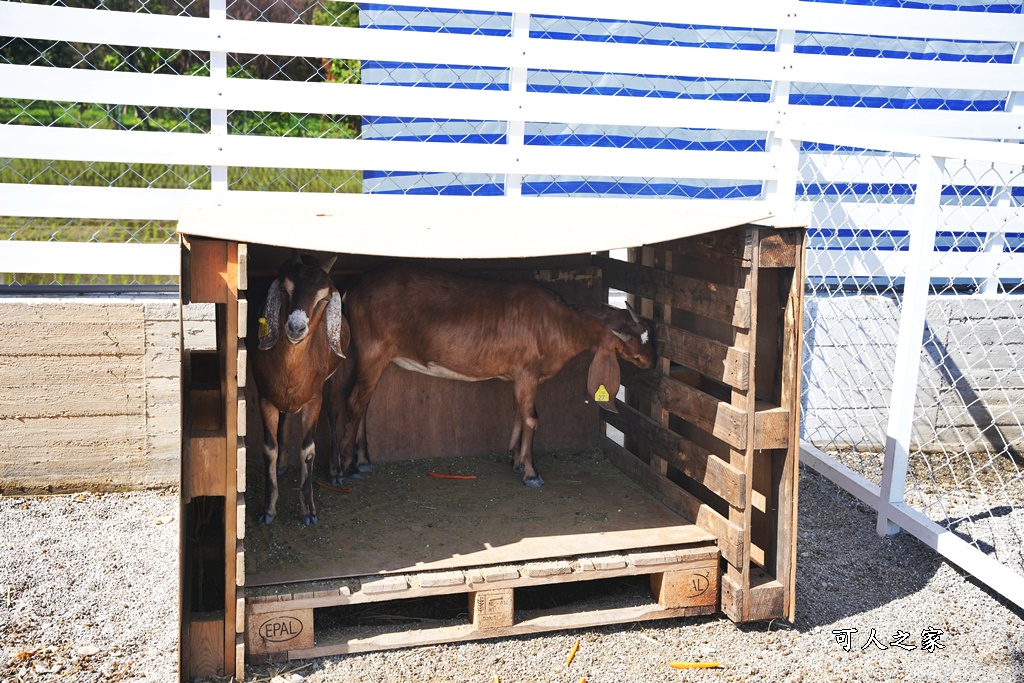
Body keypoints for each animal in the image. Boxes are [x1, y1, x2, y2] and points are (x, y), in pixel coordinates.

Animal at [251, 253, 352, 528]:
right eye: (285, 289)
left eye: (324, 298)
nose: (296, 328)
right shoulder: (264, 397)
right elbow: (269, 449)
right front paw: (267, 509)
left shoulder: (313, 400)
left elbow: (308, 451)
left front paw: (308, 511)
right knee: (286, 416)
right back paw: (283, 463)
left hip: (336, 375)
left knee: (333, 413)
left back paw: (336, 470)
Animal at [327, 264, 655, 489]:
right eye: (631, 342)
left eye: (648, 336)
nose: (651, 362)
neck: (559, 322)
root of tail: (352, 290)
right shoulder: (527, 372)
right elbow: (532, 418)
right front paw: (532, 473)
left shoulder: (520, 376)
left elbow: (519, 413)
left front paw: (515, 460)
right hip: (372, 351)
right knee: (354, 402)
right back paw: (343, 468)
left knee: (364, 402)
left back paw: (363, 462)